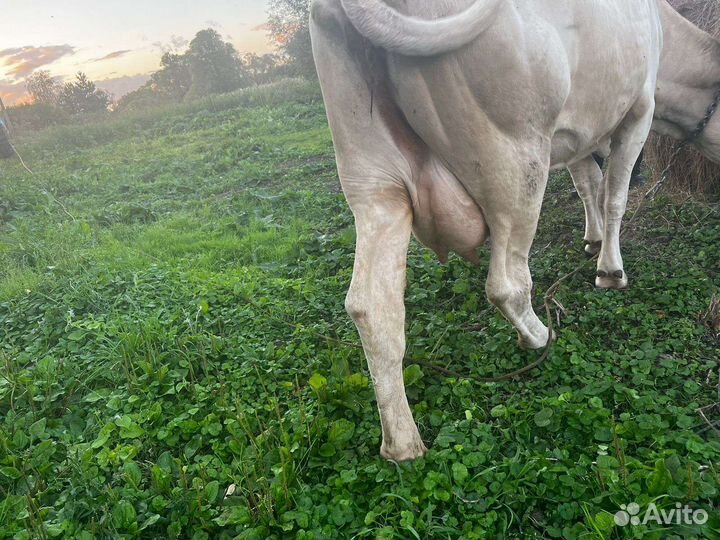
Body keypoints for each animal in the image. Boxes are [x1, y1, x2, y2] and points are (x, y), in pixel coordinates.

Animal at [310, 0, 662, 461]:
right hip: (515, 159)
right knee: (506, 284)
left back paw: (402, 445)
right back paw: (539, 336)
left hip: (373, 182)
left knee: (370, 305)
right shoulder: (640, 107)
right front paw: (610, 269)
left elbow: (590, 182)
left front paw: (594, 241)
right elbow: (613, 194)